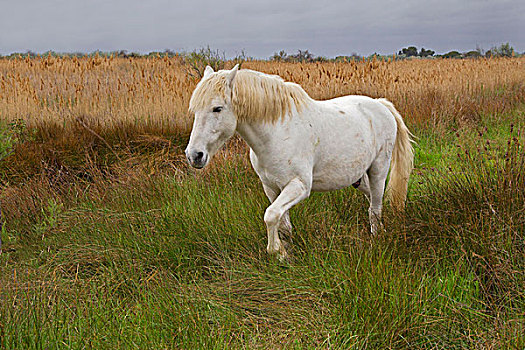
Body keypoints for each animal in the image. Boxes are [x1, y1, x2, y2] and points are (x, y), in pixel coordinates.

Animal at [185, 64, 414, 260]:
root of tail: (381, 104)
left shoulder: (299, 186)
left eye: (217, 108)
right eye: (195, 110)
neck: (277, 132)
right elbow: (282, 223)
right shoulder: (272, 188)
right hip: (358, 178)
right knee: (373, 200)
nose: (194, 155)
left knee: (375, 208)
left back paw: (377, 239)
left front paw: (277, 251)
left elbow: (270, 215)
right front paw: (287, 253)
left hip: (378, 170)